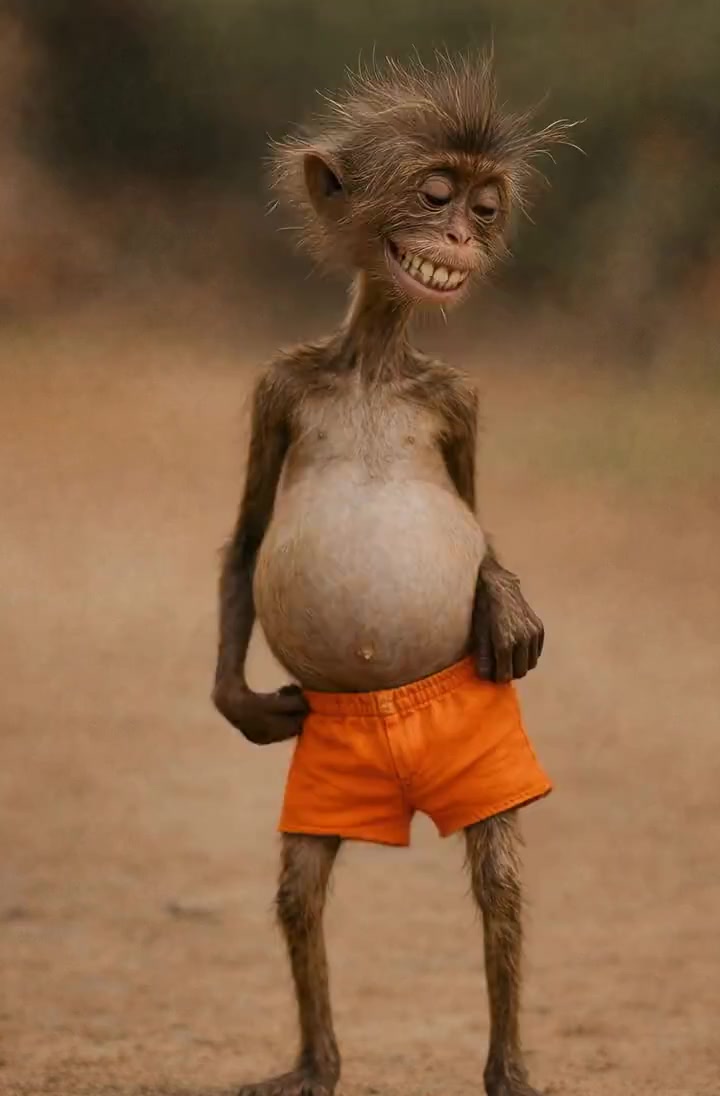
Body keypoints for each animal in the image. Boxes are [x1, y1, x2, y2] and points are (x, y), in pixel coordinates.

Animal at [213, 54, 573, 1096]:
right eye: (436, 196)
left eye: (484, 210)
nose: (459, 237)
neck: (376, 362)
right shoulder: (279, 386)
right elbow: (247, 537)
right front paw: (238, 704)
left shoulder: (459, 401)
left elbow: (477, 522)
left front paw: (503, 600)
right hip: (323, 781)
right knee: (300, 890)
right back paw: (315, 1067)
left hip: (489, 760)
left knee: (500, 885)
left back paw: (507, 1072)